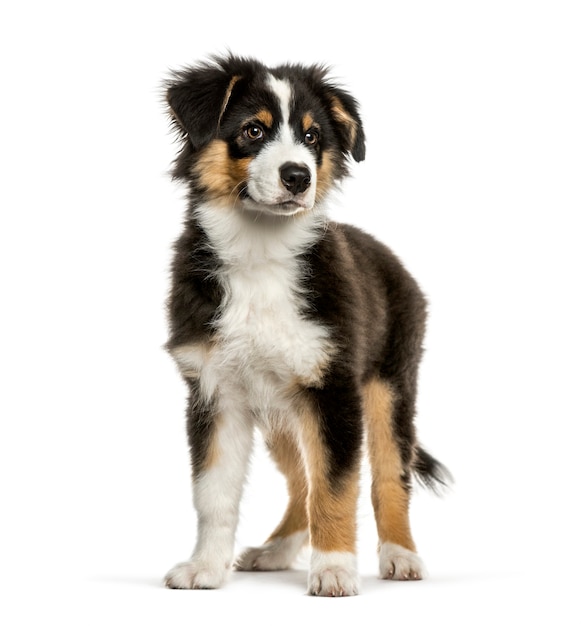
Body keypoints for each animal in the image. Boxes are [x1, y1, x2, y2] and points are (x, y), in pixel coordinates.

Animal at [163, 54, 448, 596]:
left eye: (314, 137)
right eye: (253, 130)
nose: (298, 176)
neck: (261, 253)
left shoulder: (332, 388)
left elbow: (336, 488)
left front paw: (334, 570)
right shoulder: (215, 391)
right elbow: (213, 492)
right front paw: (205, 567)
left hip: (389, 386)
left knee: (388, 477)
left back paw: (401, 555)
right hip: (282, 408)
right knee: (300, 481)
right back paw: (276, 550)